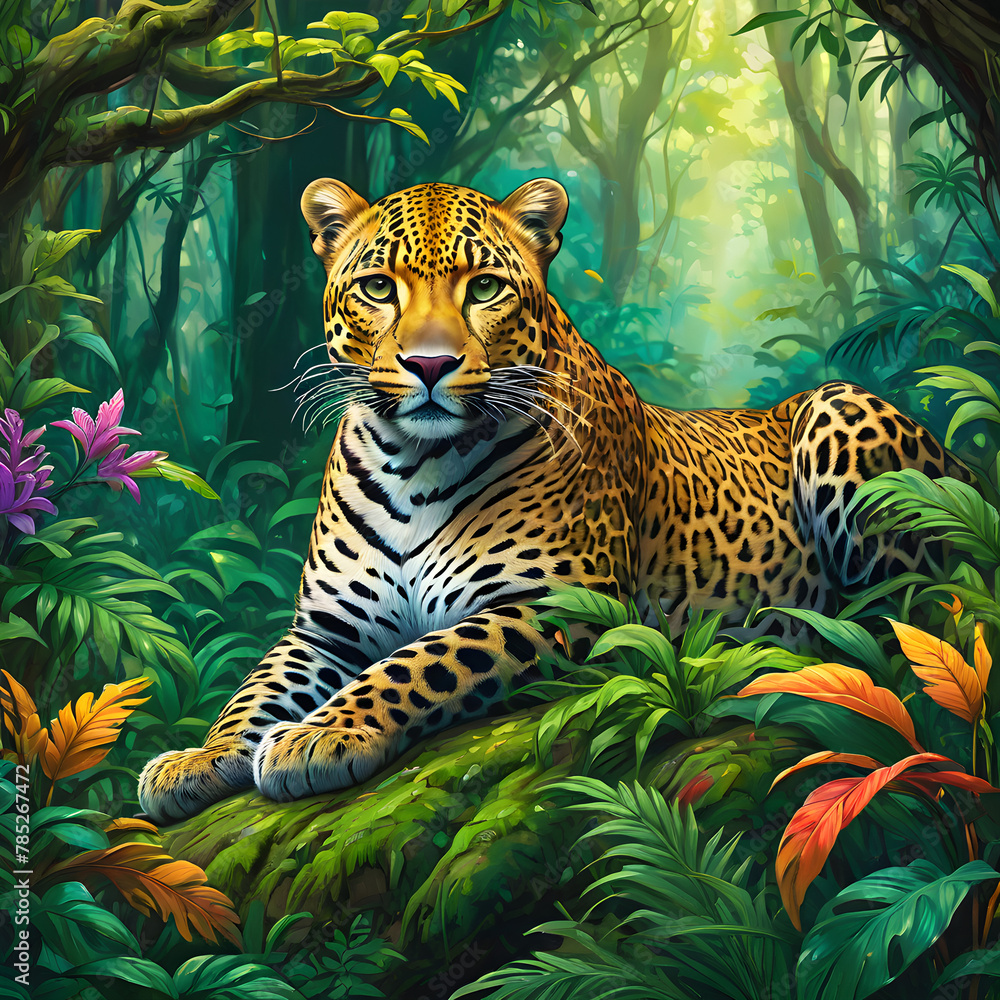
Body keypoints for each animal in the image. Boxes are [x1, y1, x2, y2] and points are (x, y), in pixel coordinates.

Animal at [138, 177, 971, 824]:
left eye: (483, 288)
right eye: (379, 288)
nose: (430, 364)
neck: (412, 464)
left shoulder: (556, 605)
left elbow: (418, 662)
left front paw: (324, 735)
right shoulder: (326, 629)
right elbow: (256, 689)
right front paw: (198, 758)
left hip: (843, 411)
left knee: (918, 619)